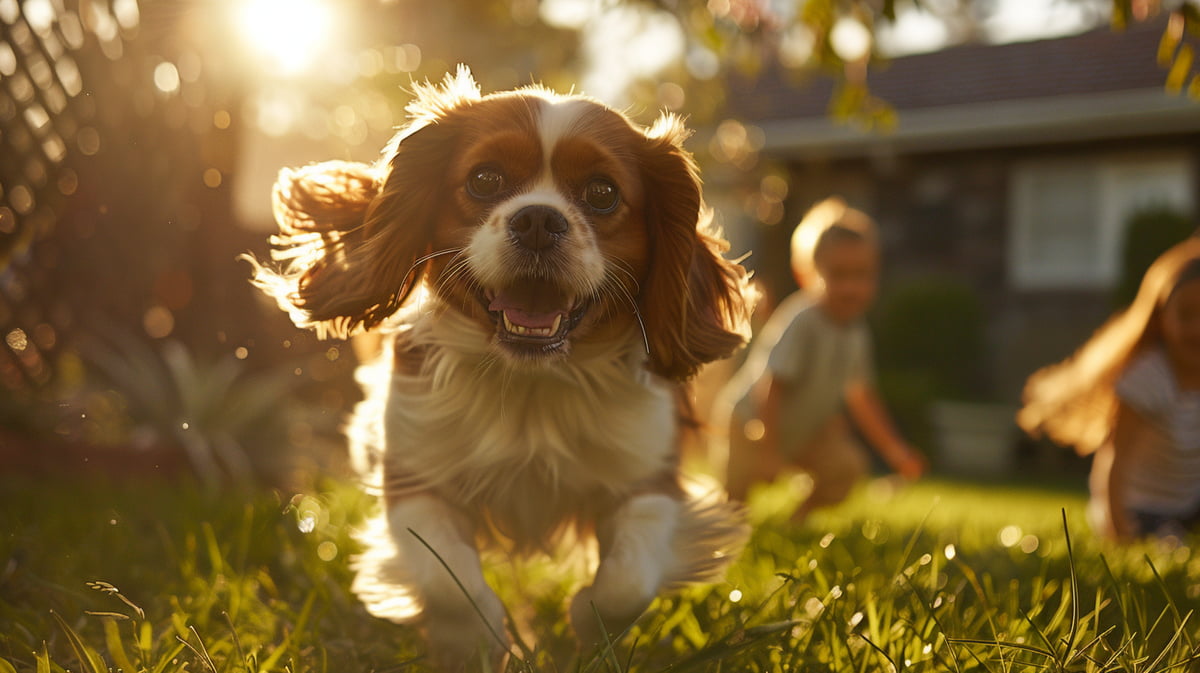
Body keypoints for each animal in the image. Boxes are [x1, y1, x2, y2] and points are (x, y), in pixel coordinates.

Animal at [247, 68, 753, 667]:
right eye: (484, 180)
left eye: (602, 193)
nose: (537, 219)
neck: (531, 380)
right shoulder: (415, 477)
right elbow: (447, 580)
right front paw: (477, 643)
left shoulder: (649, 478)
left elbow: (629, 578)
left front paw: (587, 627)